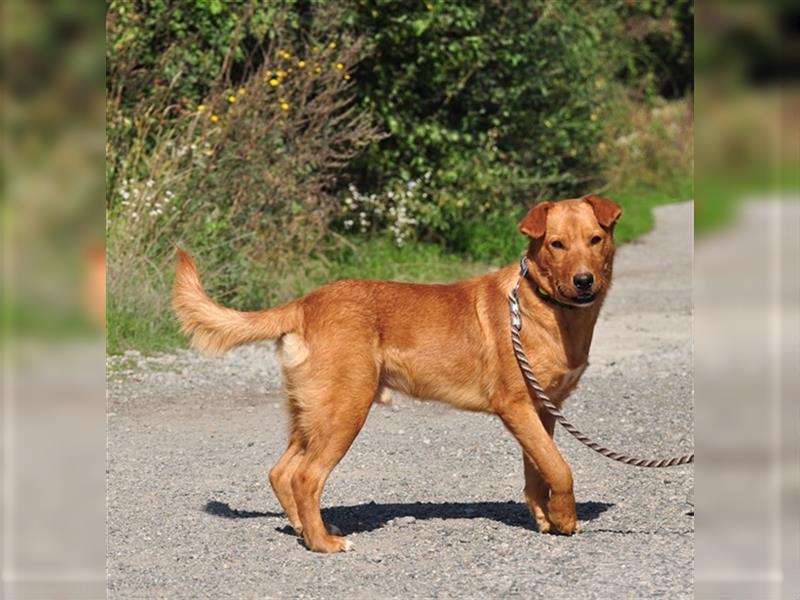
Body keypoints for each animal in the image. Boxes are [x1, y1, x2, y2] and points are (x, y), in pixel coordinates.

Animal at [173, 193, 624, 552]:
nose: (584, 281)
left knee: (280, 472)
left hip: (312, 412)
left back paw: (304, 529)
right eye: (556, 244)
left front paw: (547, 520)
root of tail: (304, 304)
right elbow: (559, 468)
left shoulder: (542, 410)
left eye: (595, 240)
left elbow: (538, 471)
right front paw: (566, 520)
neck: (542, 307)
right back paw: (323, 543)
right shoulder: (515, 407)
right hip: (346, 409)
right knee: (304, 477)